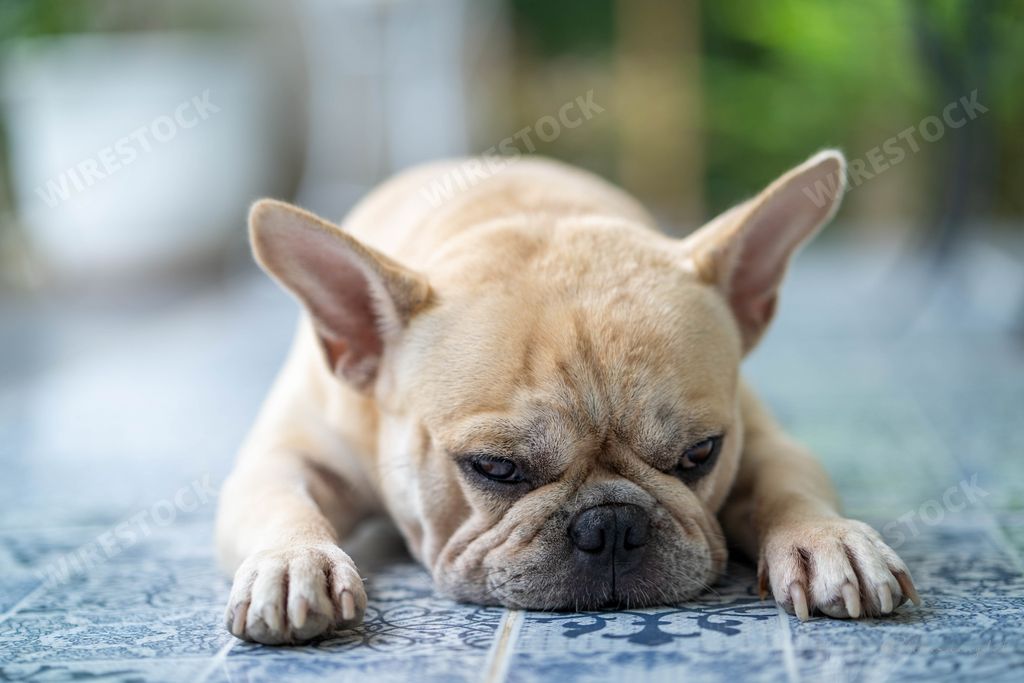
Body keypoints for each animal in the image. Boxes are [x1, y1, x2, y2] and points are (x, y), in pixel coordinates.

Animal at [215, 151, 920, 644]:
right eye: (495, 468)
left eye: (700, 455)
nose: (610, 524)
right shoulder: (283, 458)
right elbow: (282, 502)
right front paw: (292, 563)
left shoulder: (761, 436)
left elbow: (787, 482)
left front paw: (828, 540)